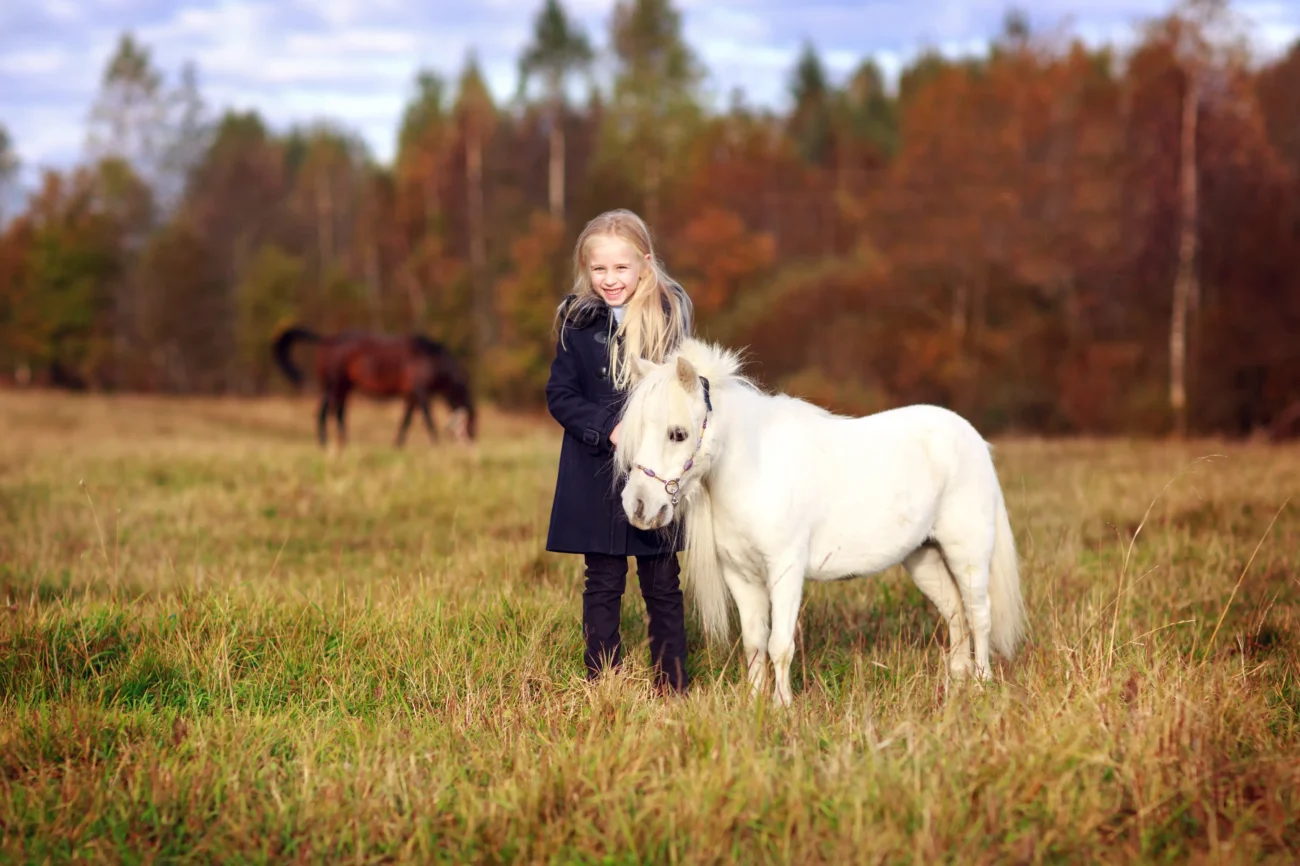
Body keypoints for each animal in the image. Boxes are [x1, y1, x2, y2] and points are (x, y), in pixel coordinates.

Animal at [270, 323, 478, 444]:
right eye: (471, 422)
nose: (473, 441)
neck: (432, 359)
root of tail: (327, 339)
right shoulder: (421, 392)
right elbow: (428, 419)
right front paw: (436, 443)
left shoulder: (411, 395)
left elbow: (406, 421)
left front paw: (398, 445)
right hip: (333, 384)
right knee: (324, 411)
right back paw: (324, 442)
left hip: (344, 386)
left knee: (339, 412)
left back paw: (344, 442)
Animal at [613, 338, 1029, 702]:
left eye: (678, 434)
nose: (638, 507)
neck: (756, 468)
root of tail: (972, 437)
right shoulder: (740, 575)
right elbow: (754, 643)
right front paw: (754, 704)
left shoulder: (785, 570)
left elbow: (780, 644)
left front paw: (782, 707)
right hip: (923, 557)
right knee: (956, 614)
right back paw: (957, 683)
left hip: (968, 554)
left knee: (979, 616)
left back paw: (982, 685)